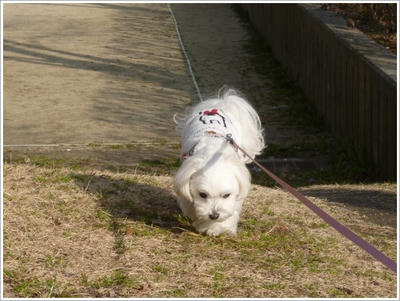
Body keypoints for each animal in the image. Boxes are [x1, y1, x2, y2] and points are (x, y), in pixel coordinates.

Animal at [173, 88, 264, 236]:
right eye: (202, 195)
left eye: (226, 195)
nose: (214, 215)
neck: (213, 154)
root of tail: (220, 104)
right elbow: (190, 204)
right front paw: (205, 222)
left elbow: (231, 211)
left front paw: (214, 227)